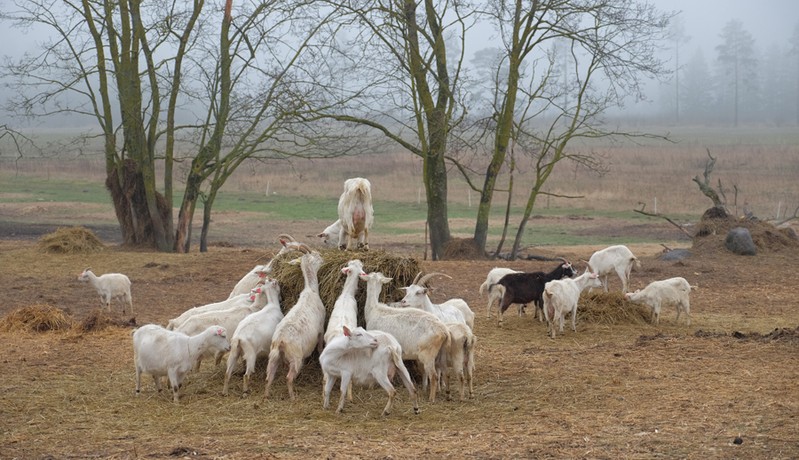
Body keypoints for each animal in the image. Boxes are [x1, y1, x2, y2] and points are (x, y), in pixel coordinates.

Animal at [262, 244, 324, 398]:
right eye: (317, 255)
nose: (323, 259)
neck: (311, 291)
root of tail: (280, 341)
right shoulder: (321, 329)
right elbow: (320, 347)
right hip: (295, 357)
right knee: (289, 377)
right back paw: (292, 397)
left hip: (273, 356)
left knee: (269, 376)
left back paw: (266, 395)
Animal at [360, 272, 450, 400]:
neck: (374, 309)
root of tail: (443, 330)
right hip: (441, 352)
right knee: (445, 372)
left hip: (427, 355)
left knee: (433, 376)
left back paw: (431, 399)